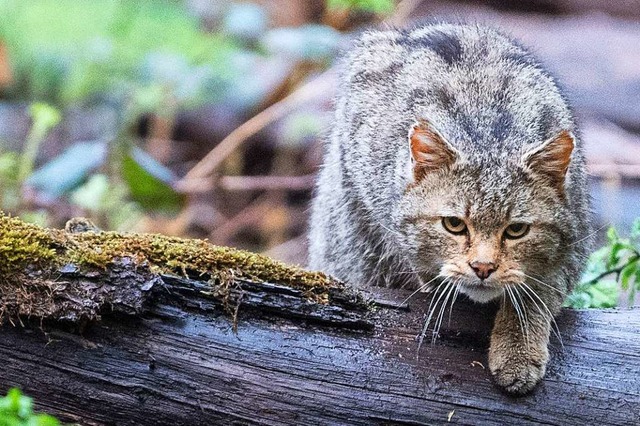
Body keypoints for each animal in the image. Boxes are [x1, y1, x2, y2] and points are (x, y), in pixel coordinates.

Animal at [308, 22, 592, 396]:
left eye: (516, 230)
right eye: (454, 225)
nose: (483, 267)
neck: (489, 134)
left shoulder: (576, 240)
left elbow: (538, 293)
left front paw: (518, 350)